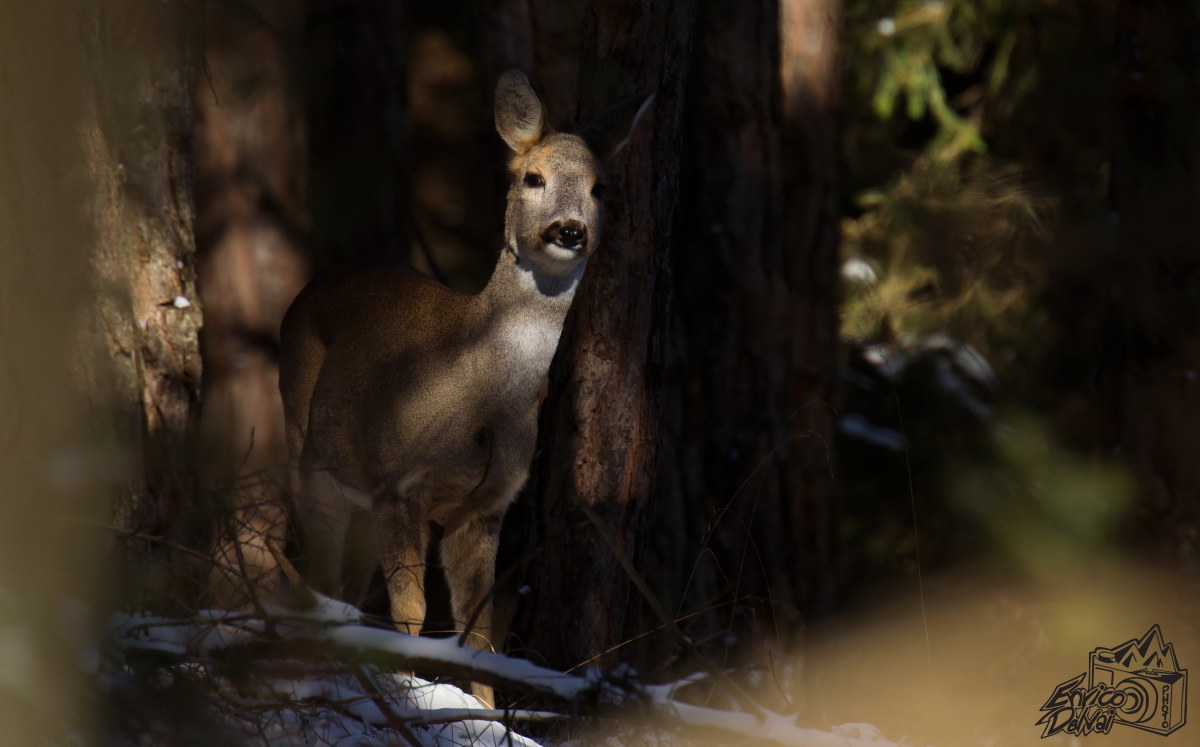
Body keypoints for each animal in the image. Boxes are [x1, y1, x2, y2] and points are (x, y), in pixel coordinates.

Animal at [277, 70, 652, 706]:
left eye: (600, 188)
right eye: (533, 177)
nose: (569, 229)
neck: (483, 397)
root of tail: (314, 284)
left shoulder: (486, 505)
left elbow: (478, 635)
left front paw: (481, 710)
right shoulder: (398, 482)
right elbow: (410, 613)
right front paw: (413, 693)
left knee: (345, 588)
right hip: (310, 457)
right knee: (319, 577)